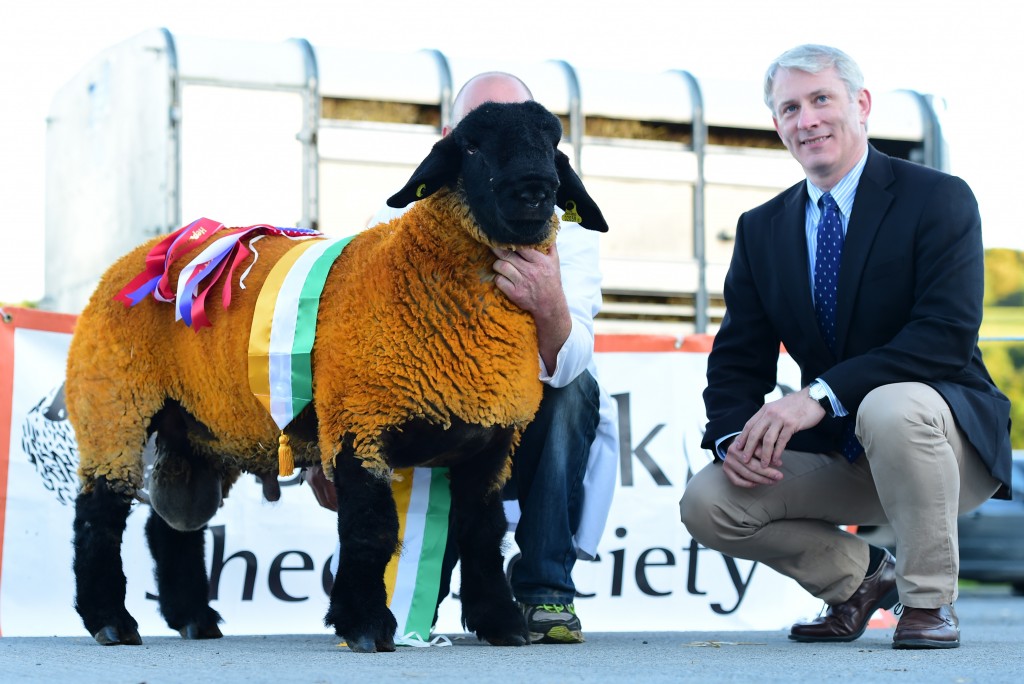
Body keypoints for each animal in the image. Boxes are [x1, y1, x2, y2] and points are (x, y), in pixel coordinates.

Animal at [66, 100, 606, 651]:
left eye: (553, 144)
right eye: (472, 146)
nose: (535, 191)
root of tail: (138, 258)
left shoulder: (492, 443)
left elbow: (483, 529)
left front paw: (500, 621)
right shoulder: (359, 422)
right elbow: (371, 527)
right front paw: (365, 623)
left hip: (202, 427)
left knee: (172, 525)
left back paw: (195, 618)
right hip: (114, 406)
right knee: (98, 514)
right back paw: (111, 620)